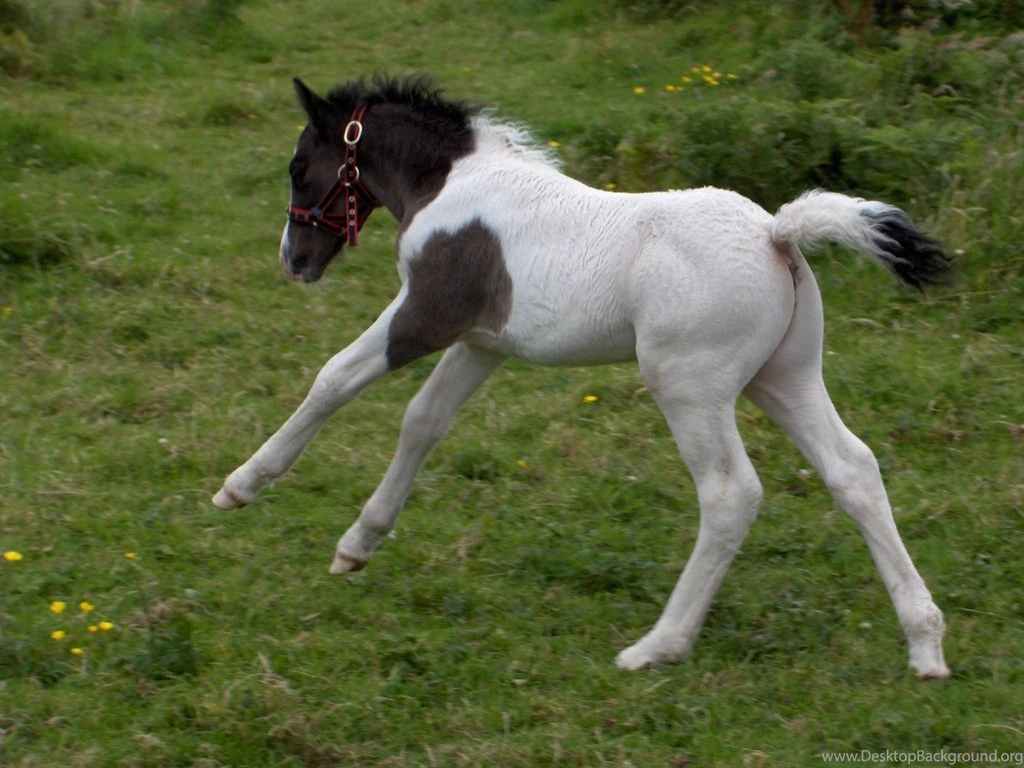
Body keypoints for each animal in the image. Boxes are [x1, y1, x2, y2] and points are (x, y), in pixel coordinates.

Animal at [213, 75, 952, 678]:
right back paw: (925, 644)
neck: (451, 184)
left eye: (299, 167)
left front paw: (240, 486)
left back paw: (658, 646)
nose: (295, 260)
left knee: (730, 494)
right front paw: (357, 545)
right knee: (853, 470)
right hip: (786, 376)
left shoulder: (426, 315)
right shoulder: (483, 342)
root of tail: (778, 233)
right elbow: (424, 421)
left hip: (688, 387)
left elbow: (334, 377)